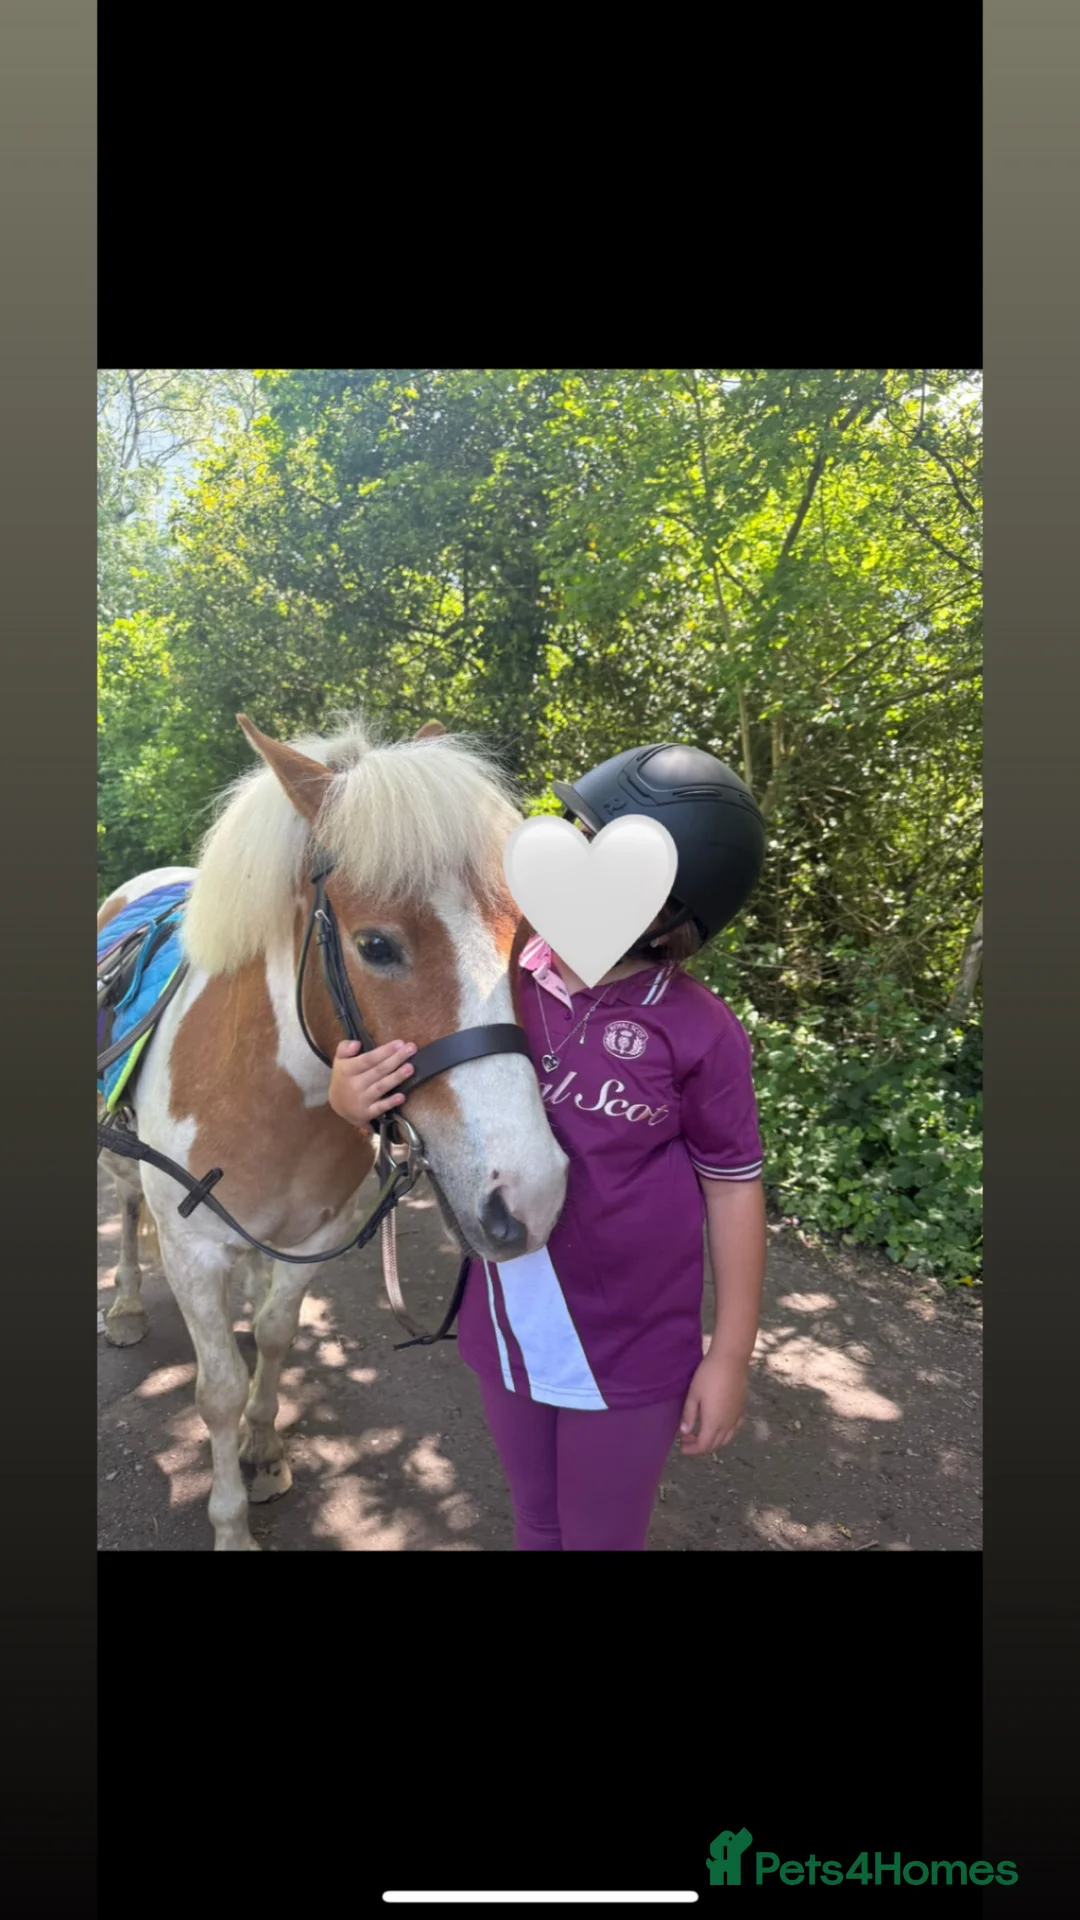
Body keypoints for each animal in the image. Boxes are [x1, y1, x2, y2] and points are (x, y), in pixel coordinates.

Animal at [97, 712, 569, 1551]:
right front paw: (231, 1523)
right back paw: (122, 1307)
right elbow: (216, 1392)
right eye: (376, 945)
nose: (532, 1195)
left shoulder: (317, 1235)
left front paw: (264, 1446)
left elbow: (279, 1333)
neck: (266, 1093)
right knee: (123, 1209)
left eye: (518, 940)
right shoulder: (191, 1252)